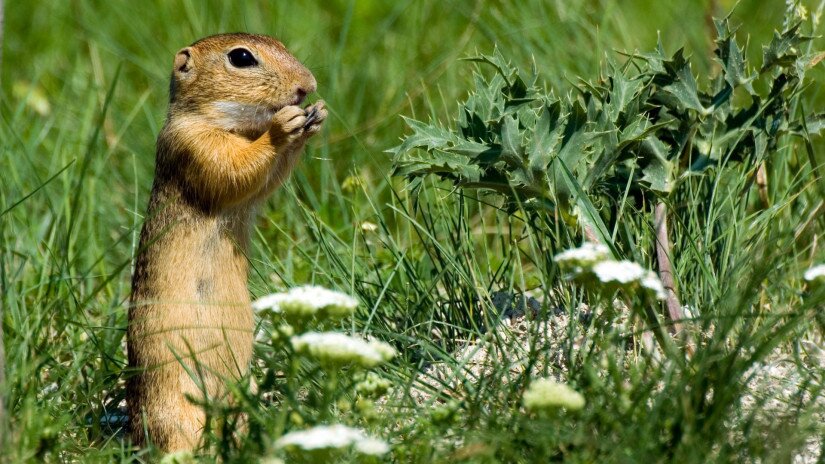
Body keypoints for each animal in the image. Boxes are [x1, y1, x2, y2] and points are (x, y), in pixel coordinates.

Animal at [127, 33, 326, 454]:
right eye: (241, 57)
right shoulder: (195, 144)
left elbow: (265, 180)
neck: (233, 124)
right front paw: (283, 126)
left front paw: (315, 117)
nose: (308, 86)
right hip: (173, 407)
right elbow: (233, 167)